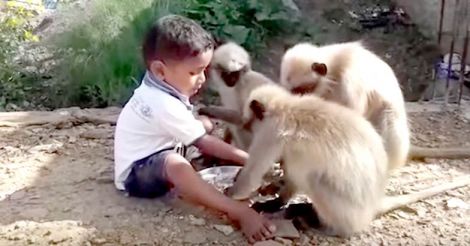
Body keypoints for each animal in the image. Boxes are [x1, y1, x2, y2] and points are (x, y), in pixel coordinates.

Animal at [227, 83, 470, 237]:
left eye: (249, 122)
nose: (246, 126)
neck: (287, 106)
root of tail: (372, 205)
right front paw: (275, 200)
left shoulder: (271, 130)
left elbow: (251, 176)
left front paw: (231, 194)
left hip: (347, 209)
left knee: (313, 177)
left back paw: (323, 225)